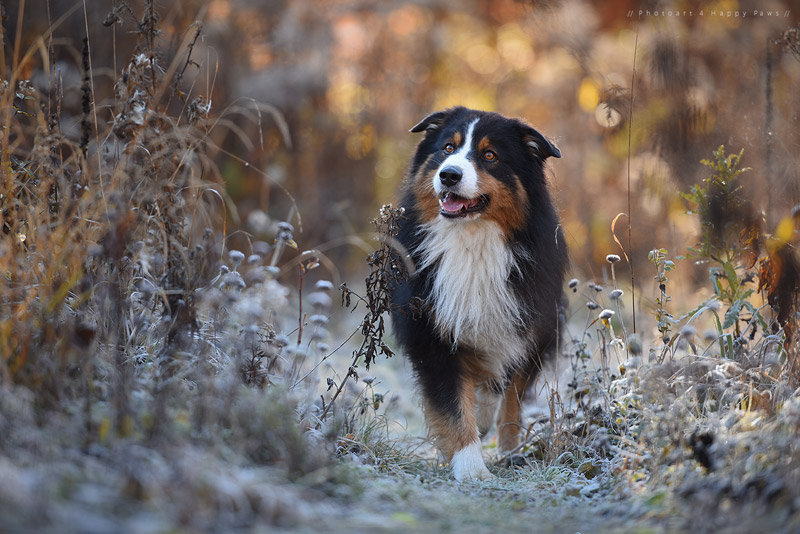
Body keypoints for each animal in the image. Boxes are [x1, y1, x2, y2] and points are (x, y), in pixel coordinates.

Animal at [390, 107, 564, 484]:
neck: (472, 240)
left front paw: (508, 450)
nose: (449, 175)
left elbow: (511, 396)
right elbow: (453, 404)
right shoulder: (431, 332)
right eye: (447, 148)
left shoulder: (530, 324)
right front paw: (470, 466)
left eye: (490, 155)